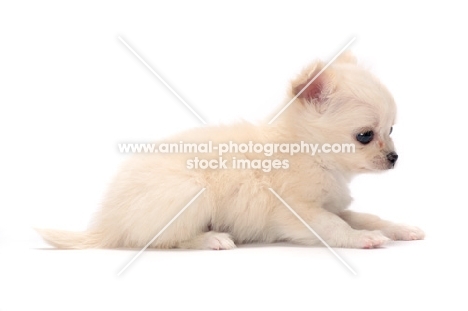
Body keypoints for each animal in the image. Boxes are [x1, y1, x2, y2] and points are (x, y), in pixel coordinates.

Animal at [36, 51, 424, 251]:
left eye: (391, 131)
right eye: (365, 136)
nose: (394, 158)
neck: (308, 150)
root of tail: (107, 223)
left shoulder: (330, 204)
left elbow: (366, 216)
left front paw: (399, 229)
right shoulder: (299, 211)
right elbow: (334, 227)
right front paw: (362, 239)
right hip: (189, 192)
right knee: (163, 241)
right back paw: (212, 239)